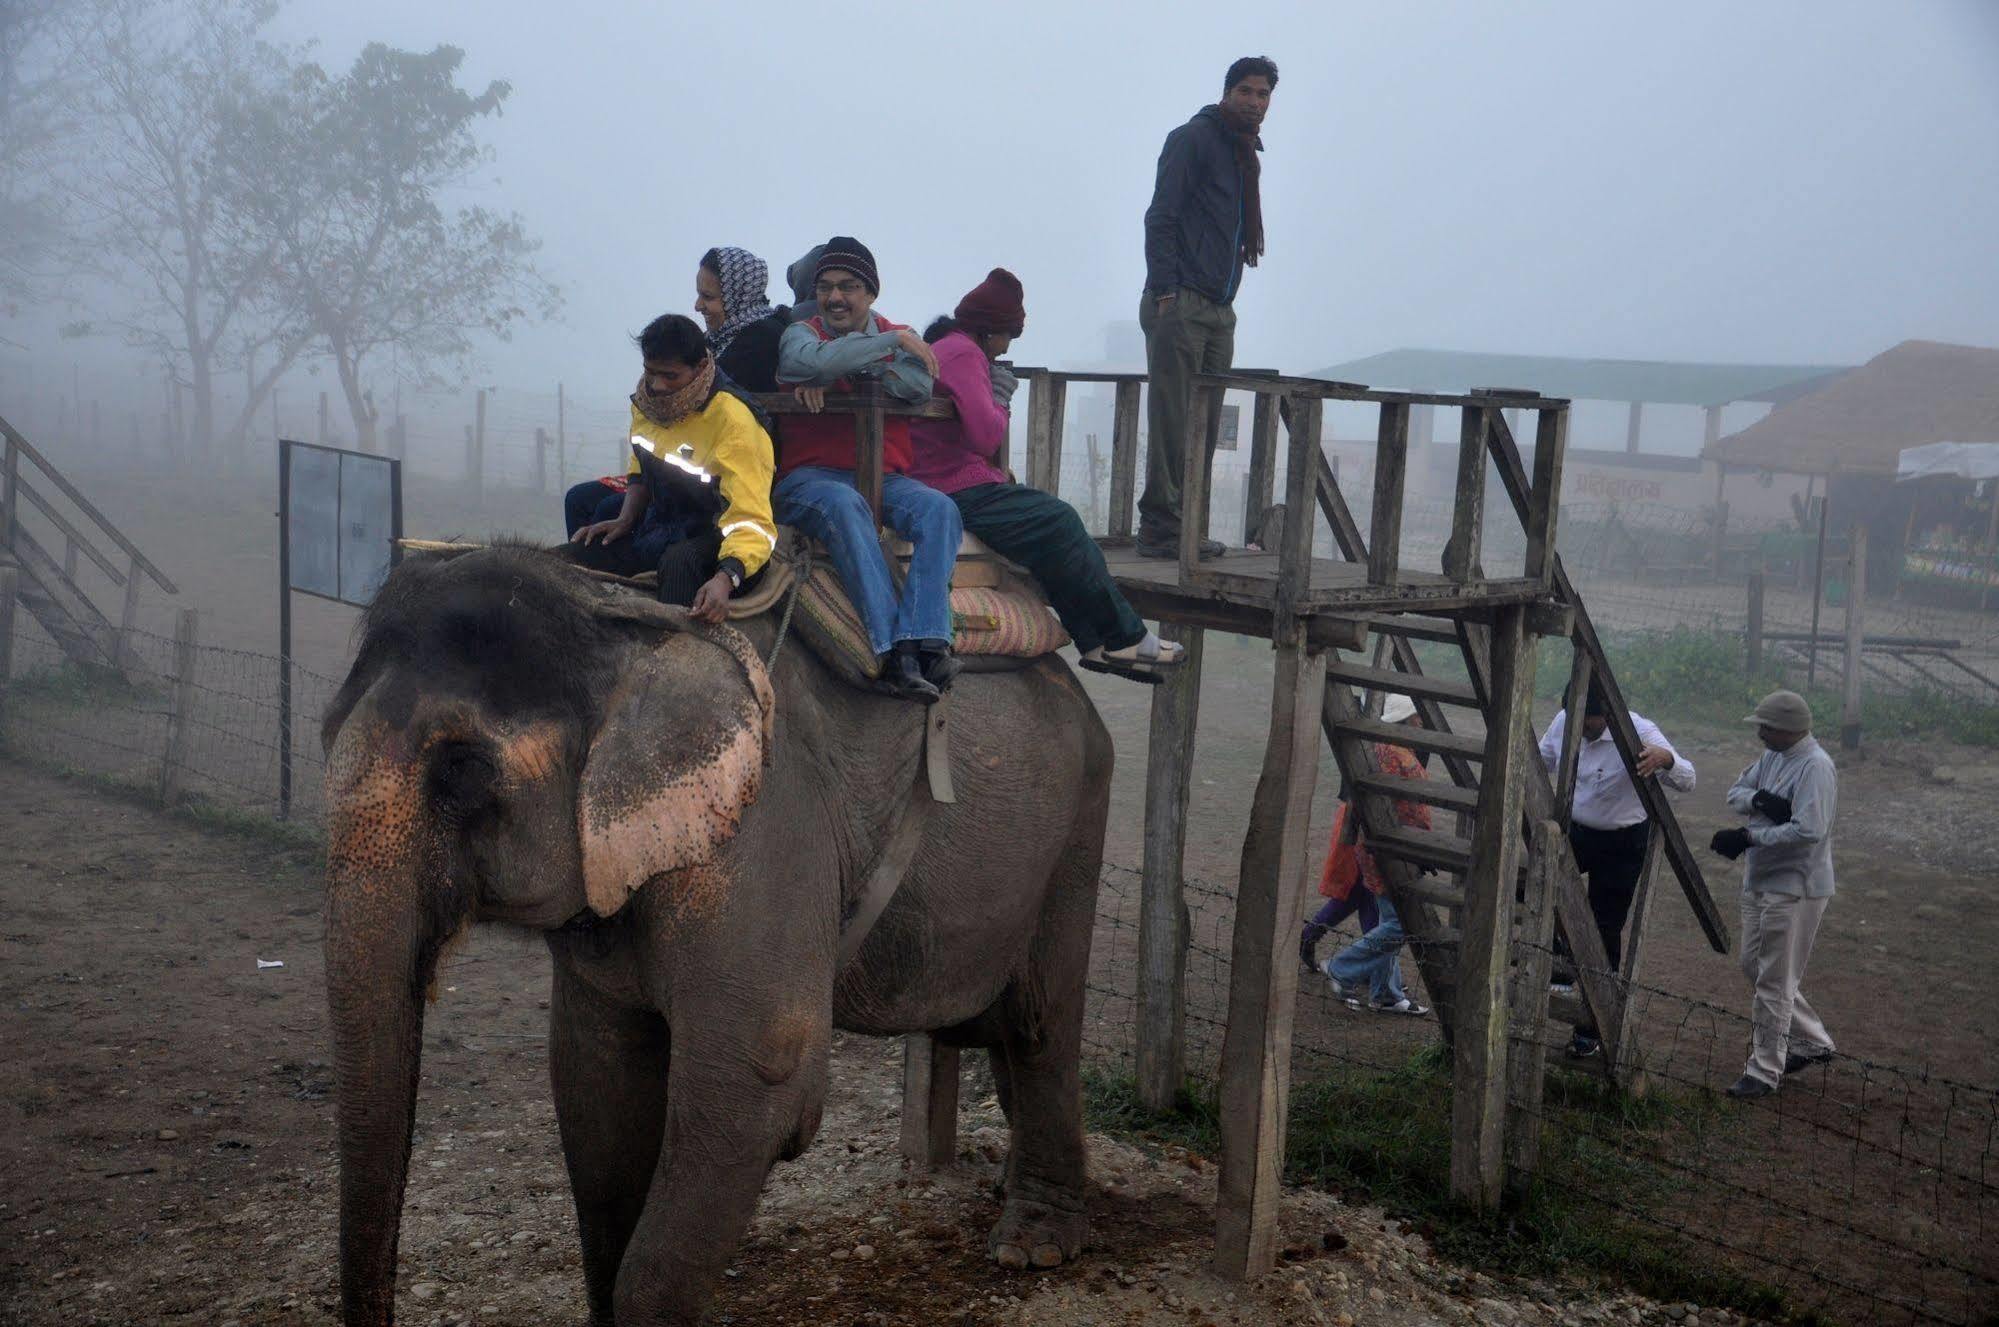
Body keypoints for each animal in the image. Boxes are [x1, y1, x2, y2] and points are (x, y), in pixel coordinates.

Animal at [319, 543, 1119, 1319]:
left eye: (460, 770)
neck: (618, 622)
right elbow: (596, 1074)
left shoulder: (764, 817)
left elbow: (760, 1073)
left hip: (1076, 825)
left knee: (1037, 1021)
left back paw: (1033, 1245)